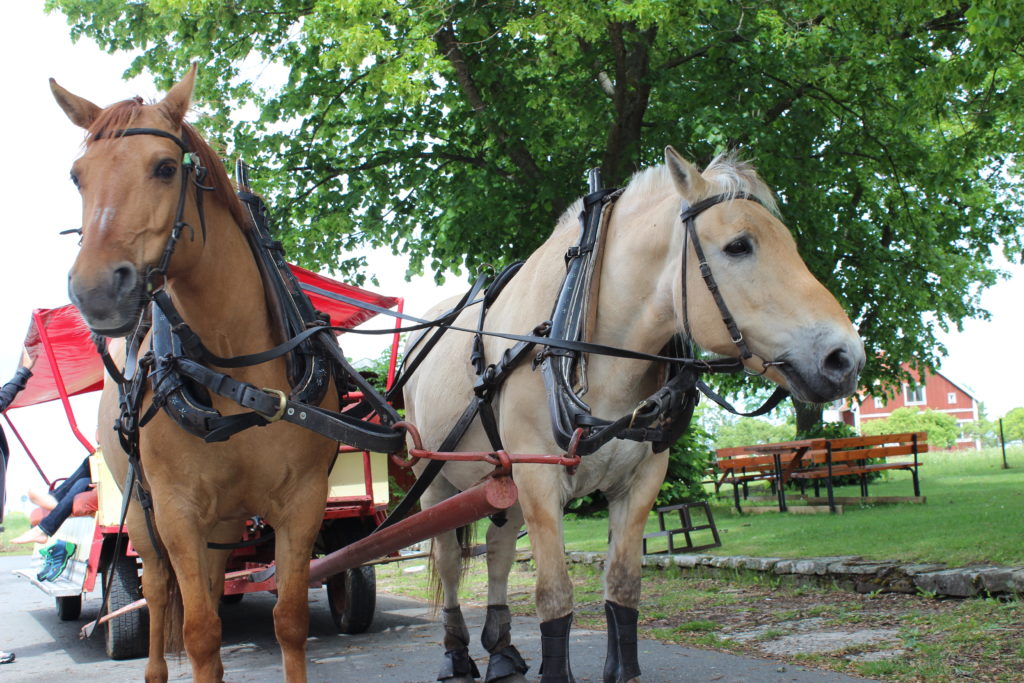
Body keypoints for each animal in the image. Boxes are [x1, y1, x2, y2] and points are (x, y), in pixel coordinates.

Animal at [54, 66, 339, 679]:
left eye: (165, 167)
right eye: (77, 177)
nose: (95, 291)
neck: (238, 374)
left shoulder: (303, 502)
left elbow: (289, 621)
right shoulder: (177, 511)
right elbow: (201, 632)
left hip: (223, 524)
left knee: (208, 582)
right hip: (143, 516)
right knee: (161, 593)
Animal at [403, 147, 868, 679]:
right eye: (738, 246)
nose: (845, 358)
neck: (578, 340)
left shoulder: (640, 480)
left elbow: (623, 586)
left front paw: (622, 670)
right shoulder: (539, 480)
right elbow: (554, 595)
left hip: (500, 485)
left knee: (498, 554)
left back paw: (500, 650)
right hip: (436, 483)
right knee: (448, 561)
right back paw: (457, 653)